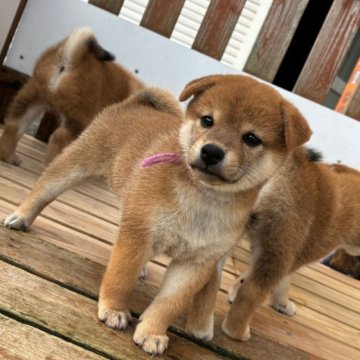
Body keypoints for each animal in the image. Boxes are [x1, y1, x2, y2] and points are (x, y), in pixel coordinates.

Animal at [0, 27, 143, 166]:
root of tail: (73, 56)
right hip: (79, 118)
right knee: (58, 137)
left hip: (34, 98)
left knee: (14, 126)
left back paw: (9, 157)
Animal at [3, 74, 312, 356]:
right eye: (207, 121)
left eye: (251, 138)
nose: (212, 151)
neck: (203, 199)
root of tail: (136, 104)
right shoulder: (140, 232)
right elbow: (120, 277)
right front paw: (114, 309)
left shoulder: (196, 262)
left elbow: (168, 304)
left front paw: (152, 332)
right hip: (76, 165)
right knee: (43, 191)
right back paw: (20, 216)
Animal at [224, 148, 358, 340]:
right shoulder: (291, 255)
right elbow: (281, 283)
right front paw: (281, 302)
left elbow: (248, 275)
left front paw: (235, 292)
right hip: (280, 249)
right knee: (252, 292)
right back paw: (237, 331)